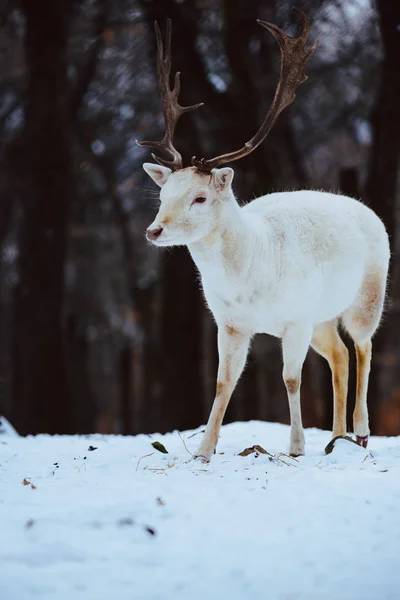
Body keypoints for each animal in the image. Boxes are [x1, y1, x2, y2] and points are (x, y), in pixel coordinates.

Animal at [138, 9, 390, 462]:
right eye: (163, 194)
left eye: (200, 197)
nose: (154, 230)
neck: (251, 278)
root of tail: (366, 210)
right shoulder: (231, 323)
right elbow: (223, 382)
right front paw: (203, 451)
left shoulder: (295, 318)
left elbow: (291, 378)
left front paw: (296, 446)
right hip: (322, 317)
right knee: (340, 355)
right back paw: (335, 437)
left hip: (367, 296)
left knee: (363, 346)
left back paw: (360, 432)